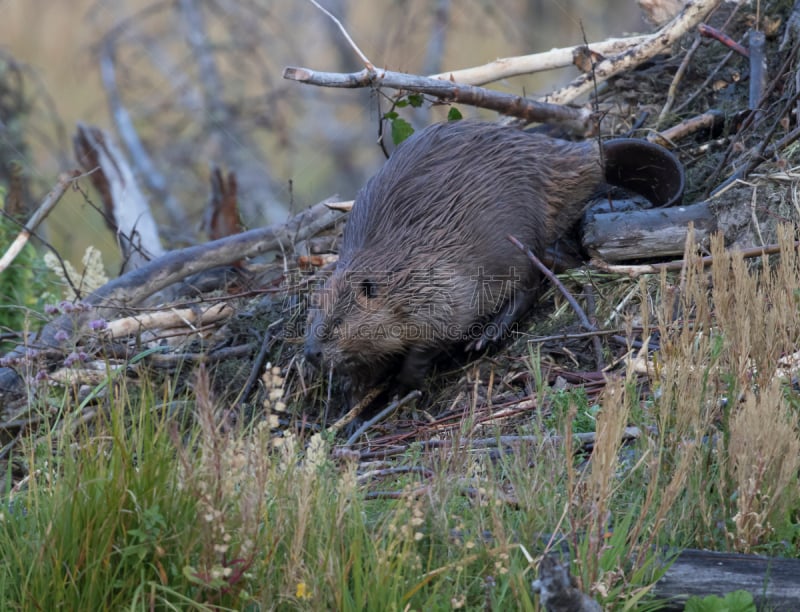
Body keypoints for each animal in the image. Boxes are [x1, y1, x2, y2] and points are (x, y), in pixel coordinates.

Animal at [304, 120, 680, 392]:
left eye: (336, 322)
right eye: (312, 319)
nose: (311, 354)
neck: (399, 269)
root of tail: (587, 155)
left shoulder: (443, 285)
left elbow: (441, 331)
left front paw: (403, 382)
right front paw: (352, 387)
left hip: (513, 241)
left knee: (530, 282)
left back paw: (490, 332)